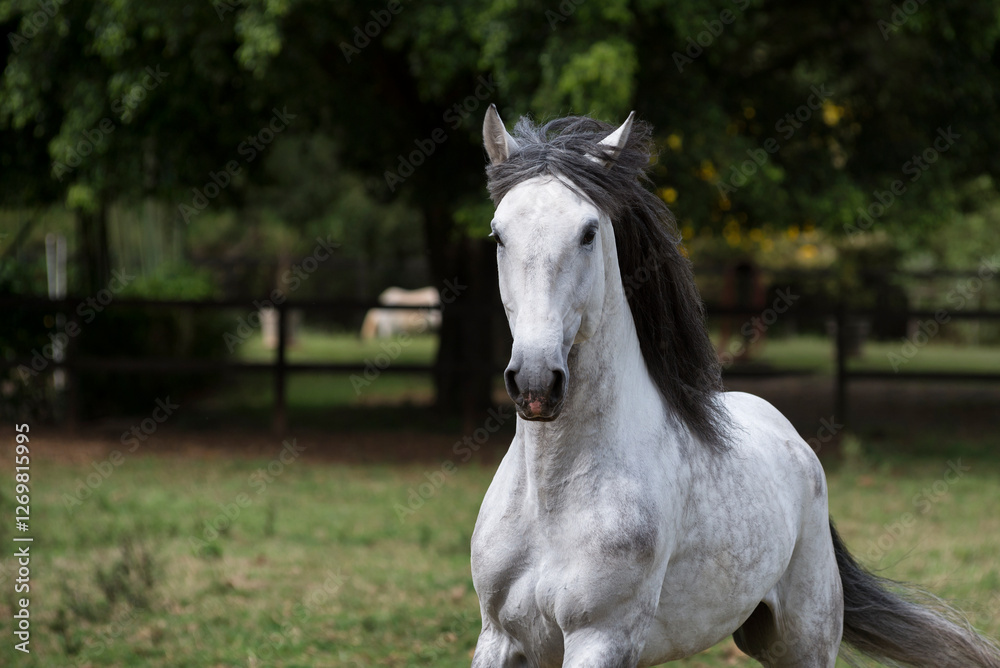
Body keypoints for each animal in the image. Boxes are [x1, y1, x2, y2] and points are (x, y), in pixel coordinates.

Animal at [470, 105, 1000, 668]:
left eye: (588, 233)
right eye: (498, 235)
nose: (534, 381)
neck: (551, 498)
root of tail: (795, 443)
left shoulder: (601, 638)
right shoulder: (499, 637)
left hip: (805, 642)